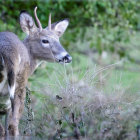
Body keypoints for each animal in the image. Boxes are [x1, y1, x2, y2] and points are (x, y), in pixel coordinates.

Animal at [0, 6, 72, 137]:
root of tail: (8, 53)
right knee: (13, 126)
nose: (67, 57)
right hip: (20, 86)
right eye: (45, 40)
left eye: (58, 39)